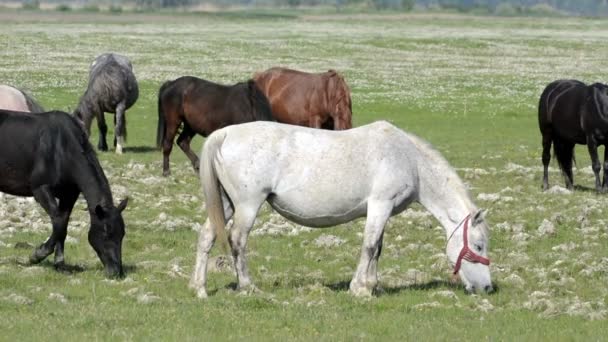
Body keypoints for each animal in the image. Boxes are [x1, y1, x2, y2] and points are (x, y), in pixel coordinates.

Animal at [0, 109, 128, 278]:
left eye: (122, 234)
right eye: (106, 233)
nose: (116, 272)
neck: (61, 148)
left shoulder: (69, 195)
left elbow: (63, 223)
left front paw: (59, 263)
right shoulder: (41, 189)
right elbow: (59, 222)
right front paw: (37, 255)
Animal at [191, 121, 494, 298]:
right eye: (479, 245)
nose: (487, 288)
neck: (409, 159)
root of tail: (225, 133)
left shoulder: (383, 211)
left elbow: (378, 247)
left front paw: (372, 285)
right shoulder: (380, 204)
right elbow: (370, 246)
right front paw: (359, 288)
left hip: (227, 203)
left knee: (207, 236)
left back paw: (199, 288)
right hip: (247, 205)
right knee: (237, 240)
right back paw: (247, 286)